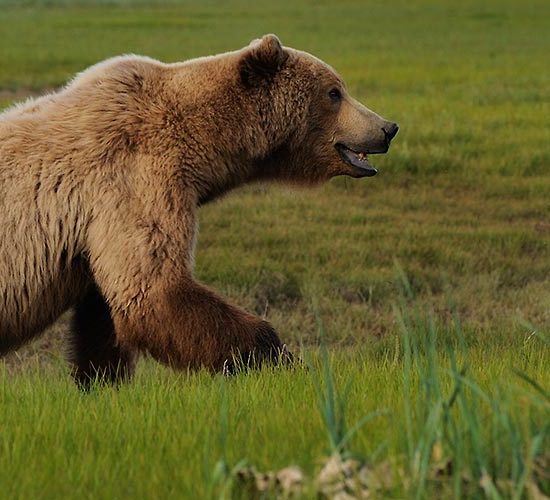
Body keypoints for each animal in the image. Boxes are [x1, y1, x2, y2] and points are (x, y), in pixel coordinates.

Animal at [0, 35, 396, 386]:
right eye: (334, 92)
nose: (388, 128)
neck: (199, 145)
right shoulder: (135, 178)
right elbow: (156, 290)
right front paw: (286, 361)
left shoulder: (98, 231)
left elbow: (105, 314)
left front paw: (101, 382)